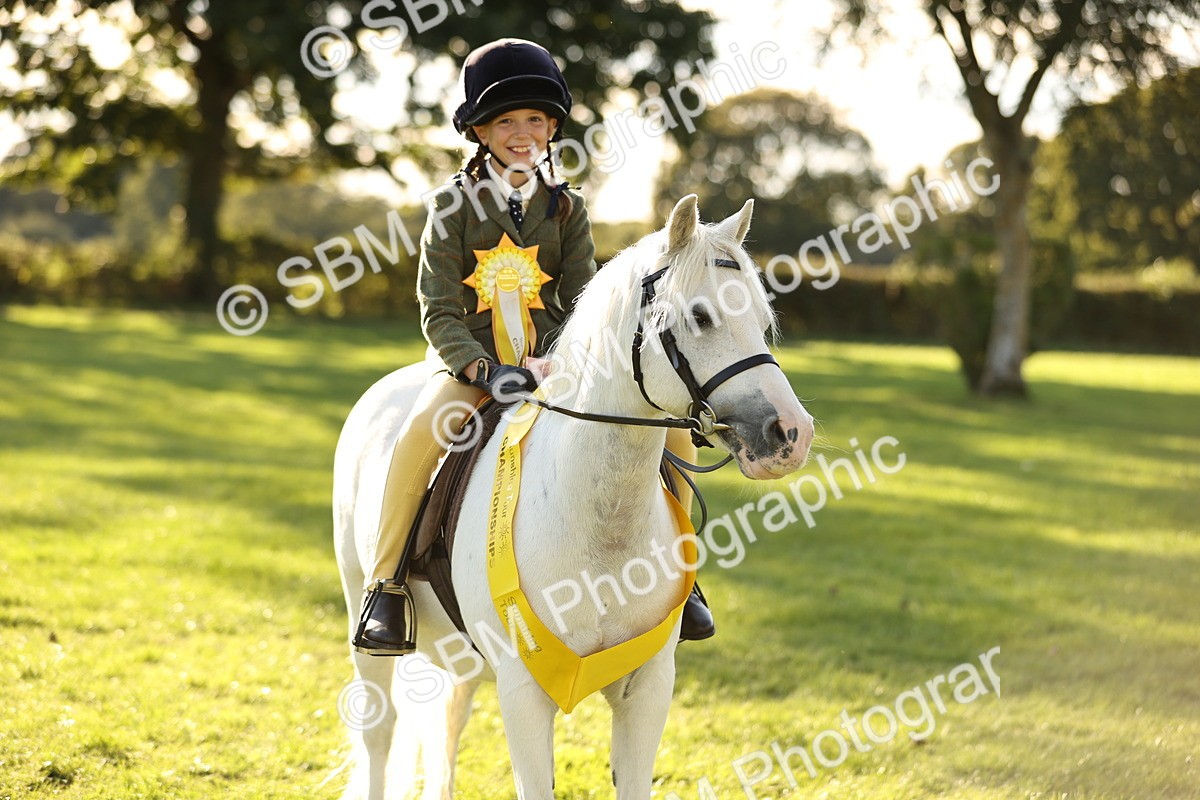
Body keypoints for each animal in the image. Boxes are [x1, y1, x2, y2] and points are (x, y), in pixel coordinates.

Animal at [332, 194, 815, 799]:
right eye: (701, 316)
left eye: (762, 319)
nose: (790, 435)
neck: (601, 524)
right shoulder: (523, 692)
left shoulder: (648, 691)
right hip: (363, 608)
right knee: (379, 731)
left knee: (448, 722)